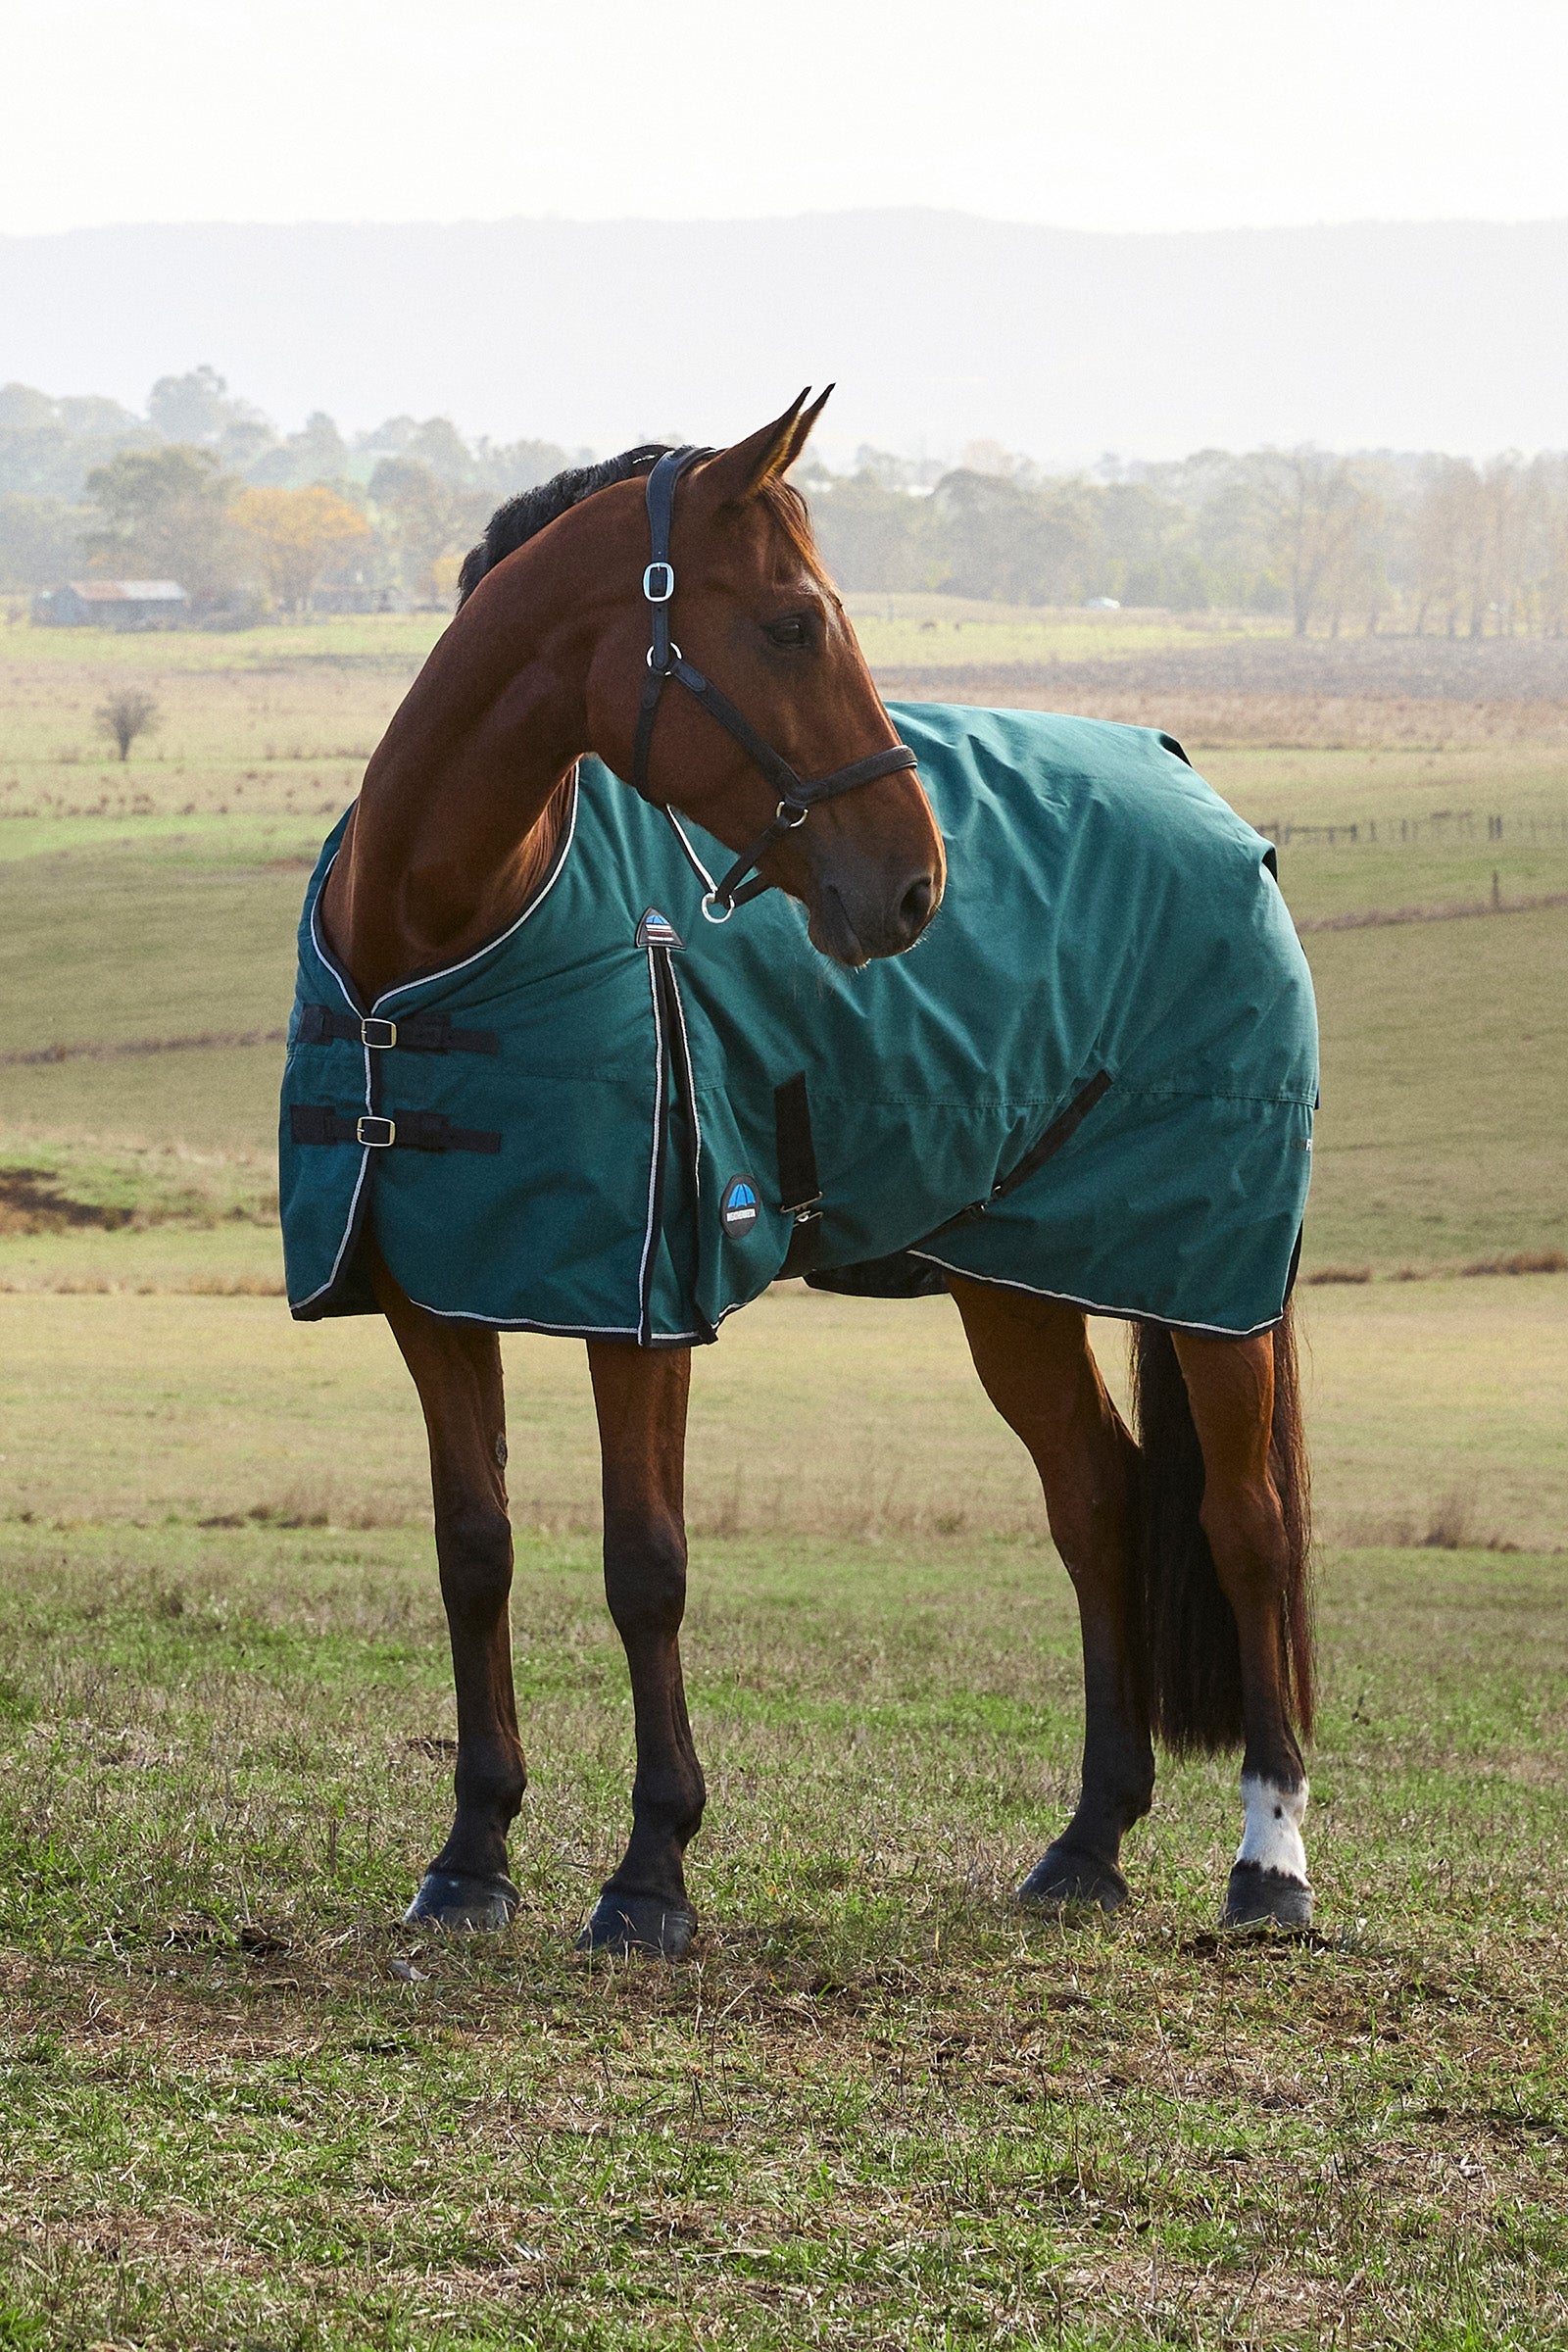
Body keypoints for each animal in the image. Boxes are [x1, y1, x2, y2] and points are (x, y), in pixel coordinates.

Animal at [302, 391, 1315, 1956]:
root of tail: (1202, 794)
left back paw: (1270, 1864)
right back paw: (1087, 1844)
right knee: (1097, 1505)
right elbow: (474, 1552)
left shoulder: (645, 1306)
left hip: (1211, 1281)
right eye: (788, 625)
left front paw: (650, 1873)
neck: (442, 923)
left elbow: (644, 1567)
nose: (914, 885)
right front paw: (471, 1856)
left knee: (1243, 1524)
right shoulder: (436, 1295)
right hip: (1015, 1282)